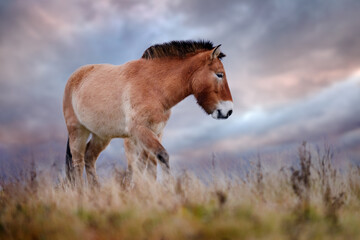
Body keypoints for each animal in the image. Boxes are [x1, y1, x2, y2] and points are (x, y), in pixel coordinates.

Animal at [63, 39, 233, 187]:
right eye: (219, 74)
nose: (229, 111)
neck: (154, 86)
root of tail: (75, 77)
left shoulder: (156, 132)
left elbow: (149, 166)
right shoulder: (141, 130)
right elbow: (161, 157)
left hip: (102, 136)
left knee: (89, 158)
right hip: (77, 131)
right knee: (78, 162)